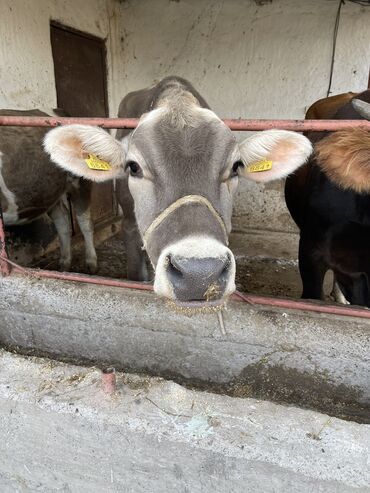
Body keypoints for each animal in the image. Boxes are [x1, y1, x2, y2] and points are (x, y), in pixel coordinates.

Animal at [0, 108, 97, 272]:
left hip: (80, 181)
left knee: (85, 222)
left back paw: (91, 264)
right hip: (50, 191)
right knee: (63, 221)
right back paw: (64, 264)